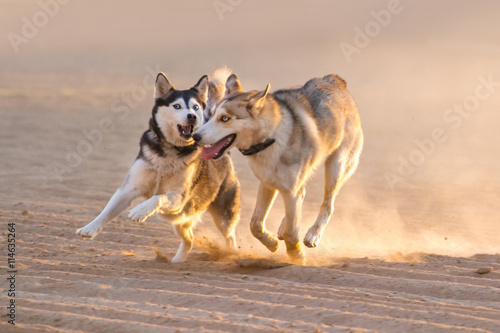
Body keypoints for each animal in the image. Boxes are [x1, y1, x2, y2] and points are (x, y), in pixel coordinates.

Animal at [76, 68, 240, 262]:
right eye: (177, 106)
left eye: (195, 107)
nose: (191, 116)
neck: (168, 152)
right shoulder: (129, 188)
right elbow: (107, 210)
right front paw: (89, 228)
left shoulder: (179, 196)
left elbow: (157, 197)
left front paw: (140, 211)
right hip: (180, 221)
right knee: (190, 239)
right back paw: (177, 261)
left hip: (223, 215)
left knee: (230, 236)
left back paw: (233, 254)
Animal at [192, 72, 364, 262]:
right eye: (211, 114)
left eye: (225, 118)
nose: (195, 136)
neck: (272, 137)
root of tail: (335, 80)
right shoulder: (268, 183)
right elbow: (255, 225)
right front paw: (272, 243)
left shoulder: (290, 190)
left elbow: (291, 232)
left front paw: (296, 254)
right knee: (302, 197)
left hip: (336, 166)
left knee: (327, 205)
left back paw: (313, 235)